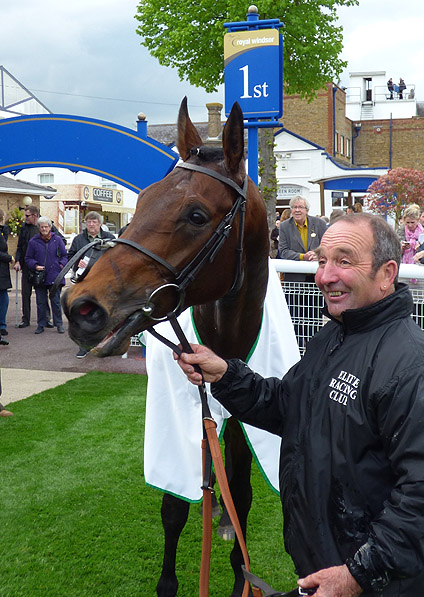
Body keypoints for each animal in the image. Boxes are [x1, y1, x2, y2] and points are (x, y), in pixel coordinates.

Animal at [63, 100, 268, 592]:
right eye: (143, 201)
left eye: (196, 215)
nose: (80, 306)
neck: (223, 342)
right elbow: (174, 508)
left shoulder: (242, 416)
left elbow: (241, 495)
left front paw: (238, 563)